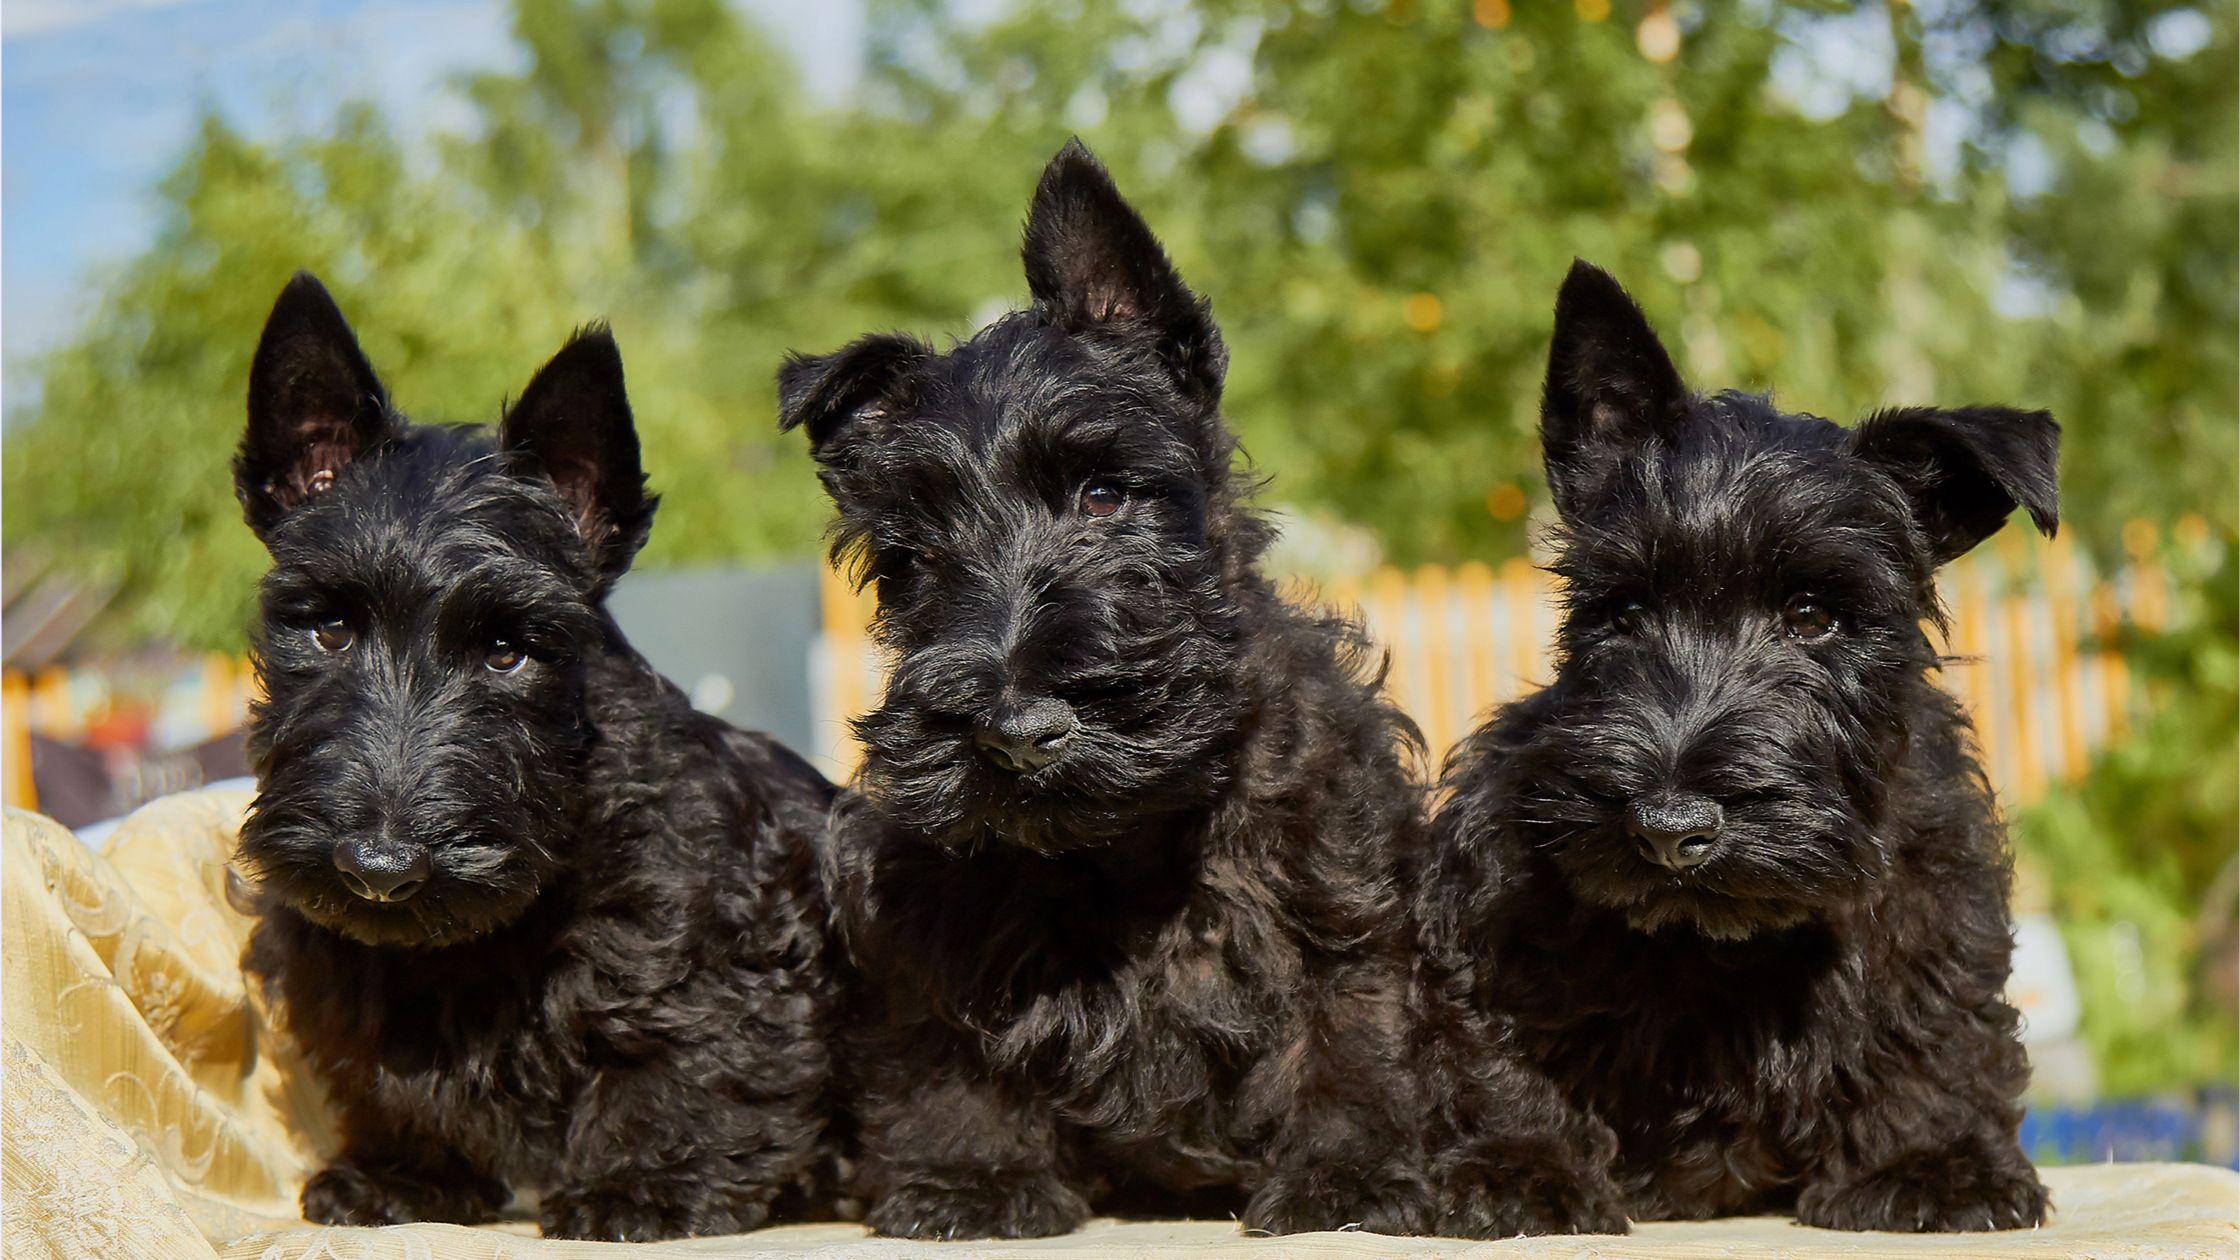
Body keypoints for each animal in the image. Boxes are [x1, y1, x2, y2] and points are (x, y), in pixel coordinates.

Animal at [231, 274, 842, 1237]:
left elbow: (681, 1056)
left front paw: (638, 1187)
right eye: (328, 626)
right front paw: (401, 1176)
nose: (380, 868)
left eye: (507, 649)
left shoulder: (712, 951)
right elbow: (390, 1073)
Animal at [779, 139, 1621, 1237]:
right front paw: (973, 1180)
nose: (1015, 730)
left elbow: (1350, 1039)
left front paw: (1346, 1179)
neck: (1129, 836)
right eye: (908, 559)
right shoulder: (932, 908)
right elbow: (948, 1054)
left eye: (1104, 494)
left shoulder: (1338, 899)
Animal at [1424, 260, 2051, 1228]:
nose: (1668, 828)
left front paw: (1933, 1162)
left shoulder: (1932, 900)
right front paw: (1519, 1168)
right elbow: (1504, 1045)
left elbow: (1931, 1022)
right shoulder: (1496, 905)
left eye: (1813, 615)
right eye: (1624, 610)